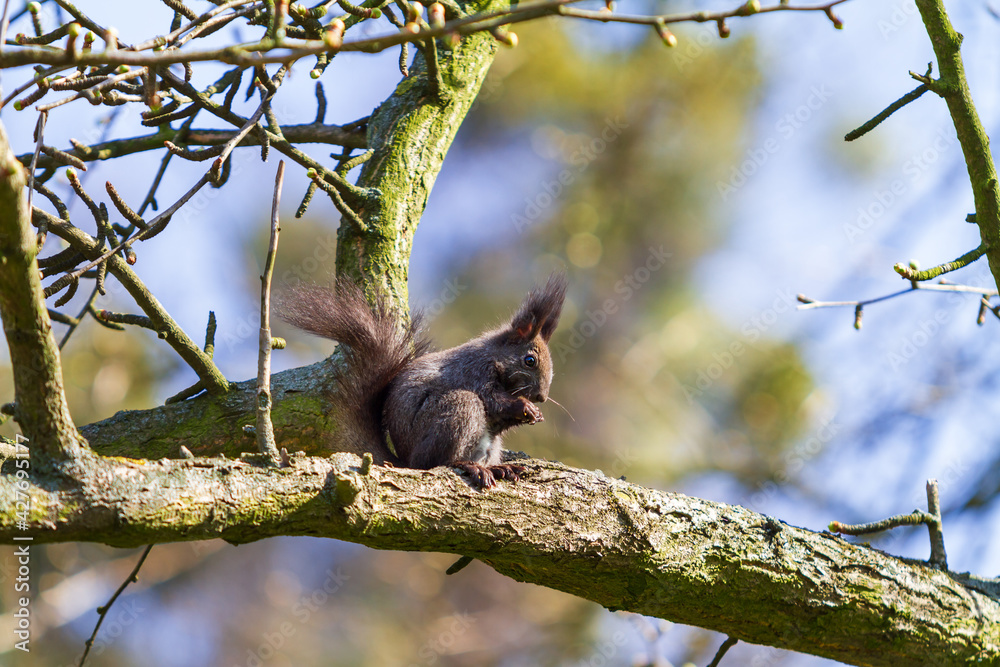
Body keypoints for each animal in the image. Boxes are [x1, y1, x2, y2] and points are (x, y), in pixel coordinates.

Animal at [277, 274, 567, 489]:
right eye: (529, 360)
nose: (541, 396)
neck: (494, 356)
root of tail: (407, 460)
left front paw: (534, 413)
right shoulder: (474, 373)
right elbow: (494, 401)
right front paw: (525, 407)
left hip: (490, 444)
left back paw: (499, 467)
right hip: (456, 411)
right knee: (437, 462)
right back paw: (468, 466)